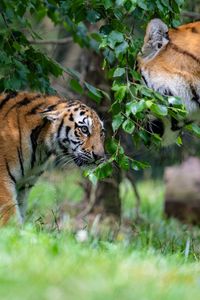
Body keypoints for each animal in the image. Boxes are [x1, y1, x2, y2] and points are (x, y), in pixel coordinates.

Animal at [0, 92, 104, 224]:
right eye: (84, 129)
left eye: (101, 133)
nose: (100, 156)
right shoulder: (3, 181)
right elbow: (10, 217)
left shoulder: (24, 186)